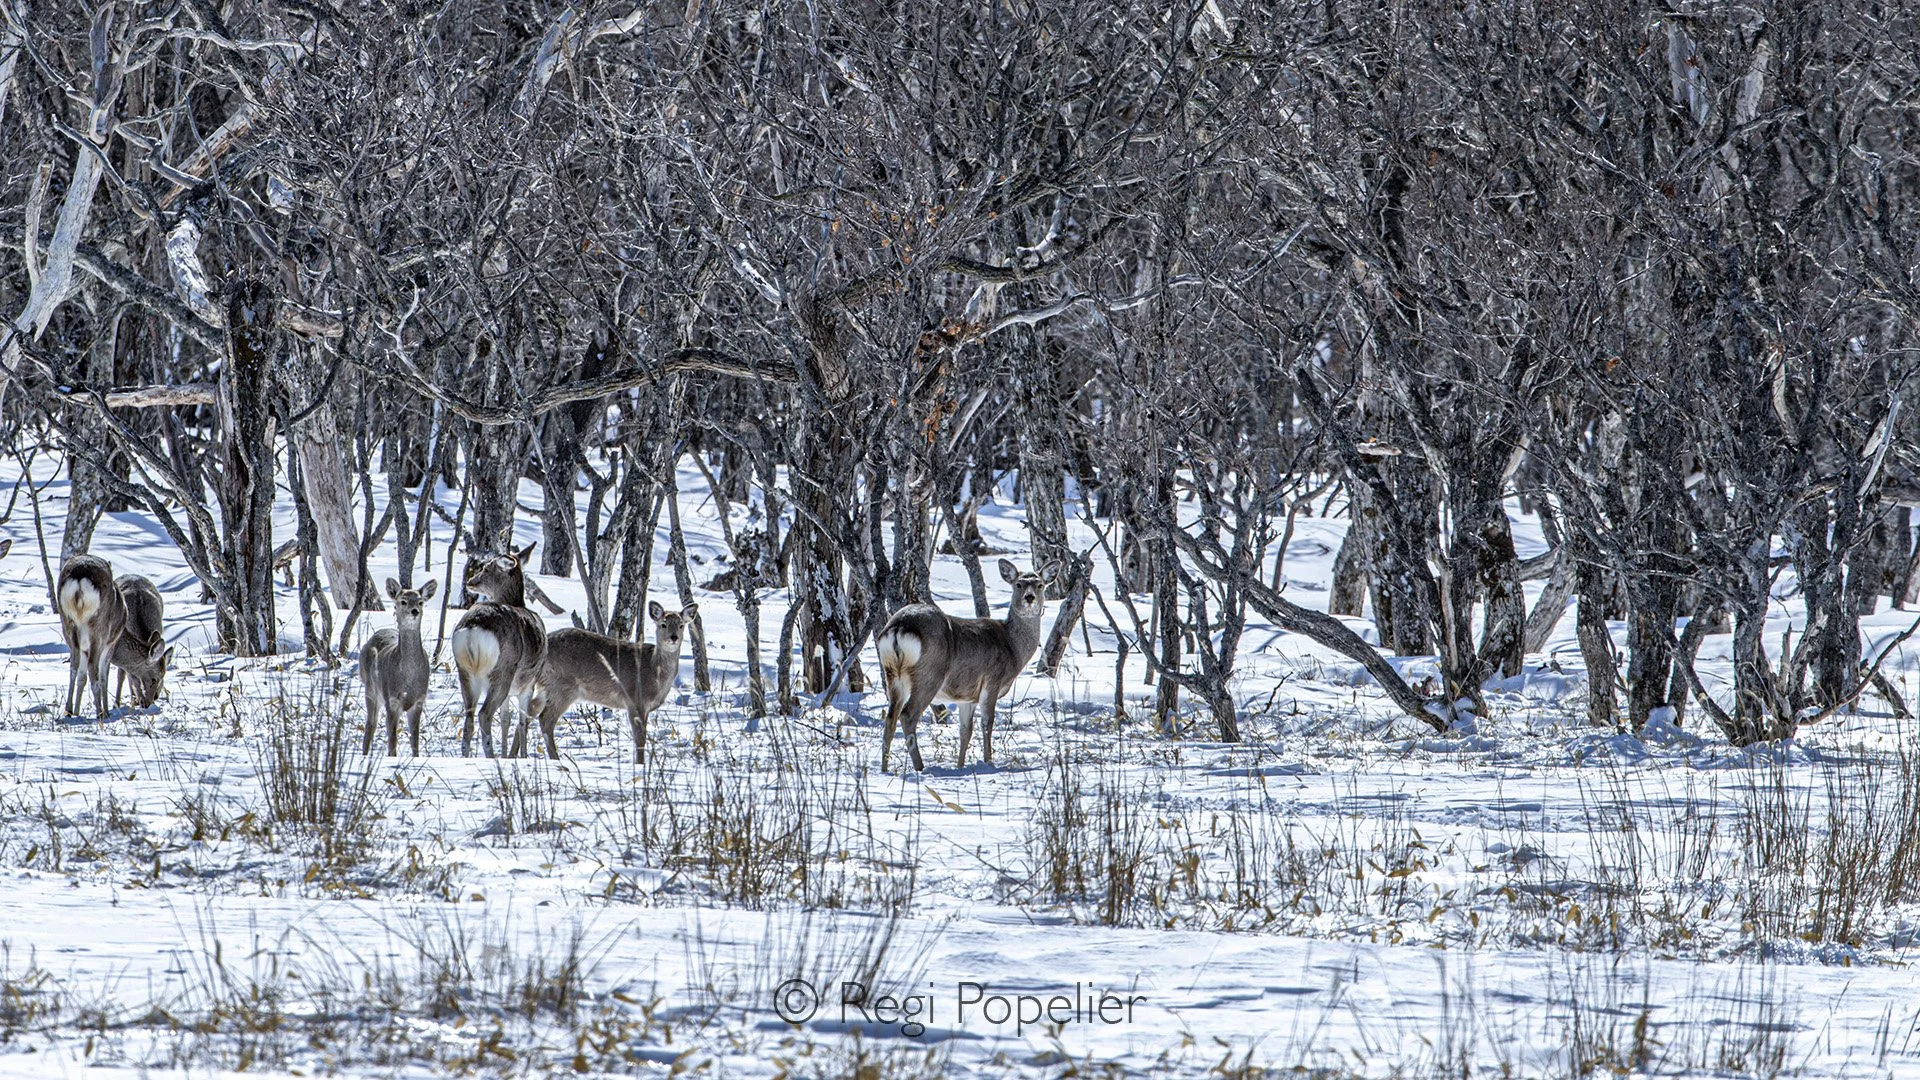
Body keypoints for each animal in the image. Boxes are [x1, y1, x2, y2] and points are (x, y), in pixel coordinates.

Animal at [111, 573, 174, 708]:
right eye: (154, 679)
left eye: (164, 676)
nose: (155, 697)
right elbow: (131, 677)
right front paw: (140, 699)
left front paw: (139, 699)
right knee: (121, 675)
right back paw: (119, 702)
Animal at [361, 578, 438, 756]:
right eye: (403, 601)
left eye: (421, 602)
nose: (414, 611)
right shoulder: (392, 700)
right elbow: (392, 741)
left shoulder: (419, 700)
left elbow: (415, 740)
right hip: (371, 690)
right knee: (371, 725)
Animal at [450, 542, 548, 758]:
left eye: (486, 568)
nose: (470, 581)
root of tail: (473, 629)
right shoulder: (529, 682)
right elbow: (522, 722)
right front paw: (522, 757)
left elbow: (505, 720)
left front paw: (507, 755)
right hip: (502, 671)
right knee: (484, 714)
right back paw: (491, 756)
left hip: (465, 672)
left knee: (469, 717)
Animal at [530, 600, 695, 763]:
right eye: (663, 624)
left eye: (681, 625)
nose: (673, 637)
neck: (655, 671)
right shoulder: (635, 700)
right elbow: (640, 738)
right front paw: (640, 765)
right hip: (562, 686)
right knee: (545, 719)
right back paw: (556, 760)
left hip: (545, 687)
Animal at [875, 558, 1047, 773]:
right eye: (1019, 584)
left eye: (1040, 584)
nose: (1029, 598)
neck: (1013, 647)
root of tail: (899, 627)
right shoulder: (992, 680)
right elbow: (987, 723)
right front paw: (988, 761)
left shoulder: (966, 698)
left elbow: (966, 731)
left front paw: (960, 766)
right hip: (930, 674)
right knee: (907, 715)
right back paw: (920, 767)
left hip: (892, 675)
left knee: (890, 718)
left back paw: (884, 768)